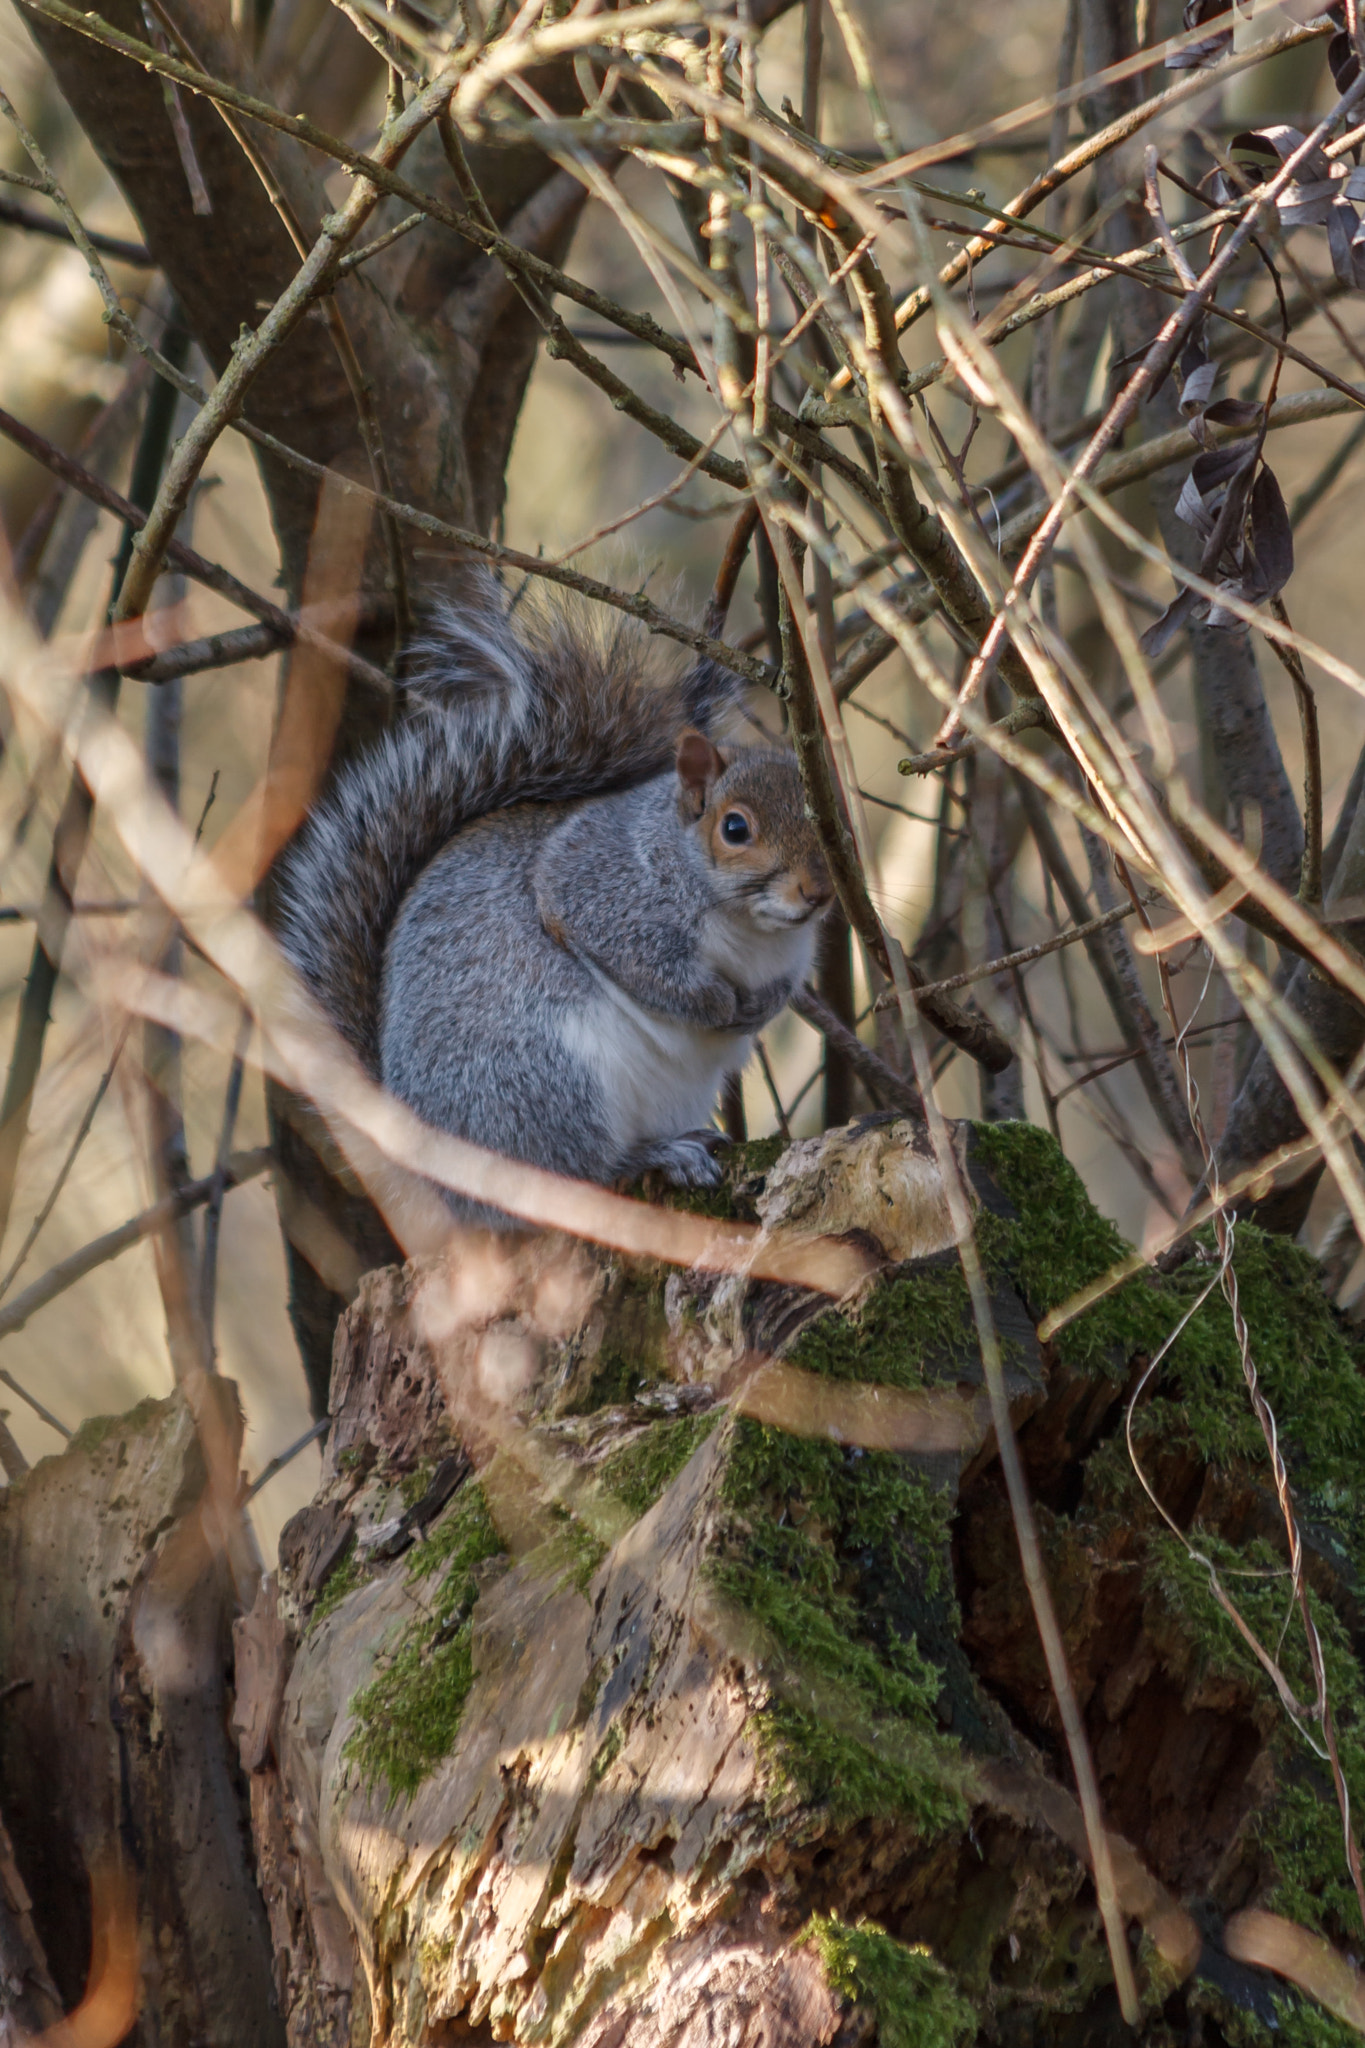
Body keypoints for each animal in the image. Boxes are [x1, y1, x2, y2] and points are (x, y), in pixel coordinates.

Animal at [278, 580, 834, 1220]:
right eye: (735, 828)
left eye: (829, 821)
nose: (818, 892)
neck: (752, 930)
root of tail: (433, 1169)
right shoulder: (595, 887)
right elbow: (644, 965)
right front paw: (714, 1002)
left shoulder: (792, 955)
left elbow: (781, 988)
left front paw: (759, 1007)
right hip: (546, 1081)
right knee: (575, 1172)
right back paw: (656, 1155)